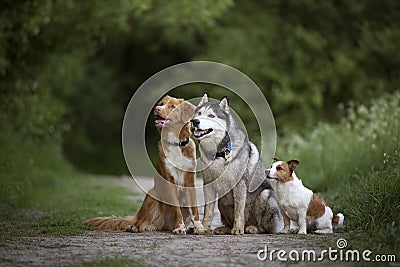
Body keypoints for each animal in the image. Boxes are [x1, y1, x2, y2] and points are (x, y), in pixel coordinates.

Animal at [85, 96, 206, 234]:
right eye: (162, 104)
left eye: (172, 106)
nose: (157, 109)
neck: (176, 143)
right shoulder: (169, 179)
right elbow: (176, 208)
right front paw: (180, 227)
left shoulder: (189, 180)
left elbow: (194, 208)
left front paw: (199, 227)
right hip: (152, 195)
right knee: (140, 220)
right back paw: (134, 227)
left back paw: (188, 227)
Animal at [191, 93, 282, 234]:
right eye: (199, 113)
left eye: (211, 116)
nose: (195, 121)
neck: (219, 154)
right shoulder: (209, 184)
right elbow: (208, 211)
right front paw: (204, 228)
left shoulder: (239, 184)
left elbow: (239, 211)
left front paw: (238, 229)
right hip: (222, 202)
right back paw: (224, 229)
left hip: (265, 195)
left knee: (265, 227)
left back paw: (251, 228)